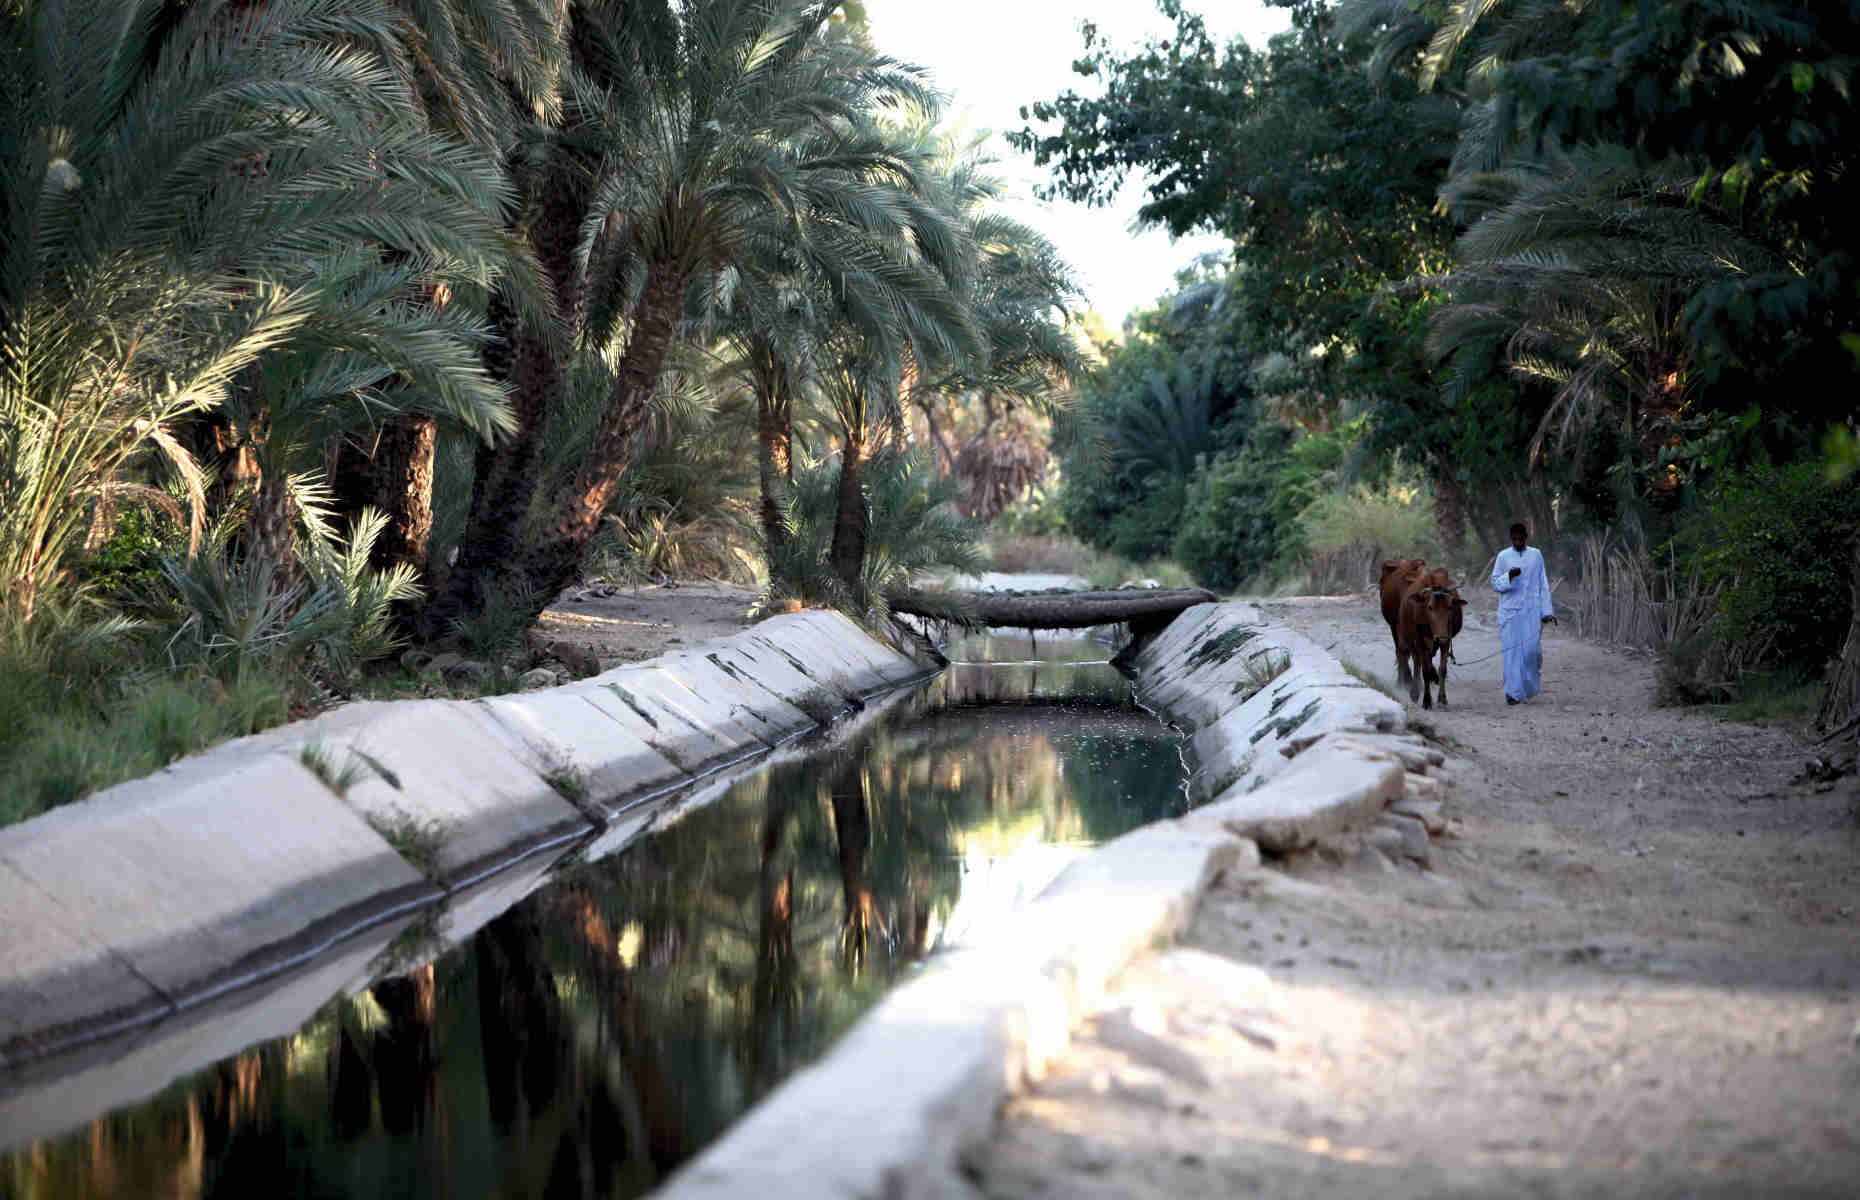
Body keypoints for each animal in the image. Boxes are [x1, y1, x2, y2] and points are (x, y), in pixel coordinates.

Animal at [1398, 565, 1458, 706]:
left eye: (1450, 607)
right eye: (1430, 607)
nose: (1440, 637)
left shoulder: (1446, 641)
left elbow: (1443, 669)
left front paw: (1442, 698)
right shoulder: (1419, 641)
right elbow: (1424, 670)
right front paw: (1426, 700)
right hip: (1412, 642)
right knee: (1417, 662)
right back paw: (1415, 692)